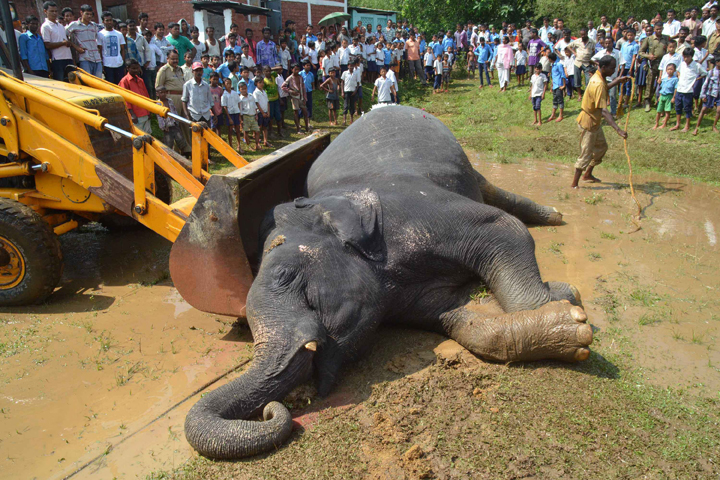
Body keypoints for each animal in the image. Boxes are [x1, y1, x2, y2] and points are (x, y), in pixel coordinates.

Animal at [184, 105, 593, 459]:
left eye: (287, 276)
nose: (272, 409)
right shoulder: (405, 297)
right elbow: (460, 319)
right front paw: (571, 328)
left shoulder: (416, 209)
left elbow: (504, 228)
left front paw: (568, 299)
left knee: (493, 193)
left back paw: (554, 216)